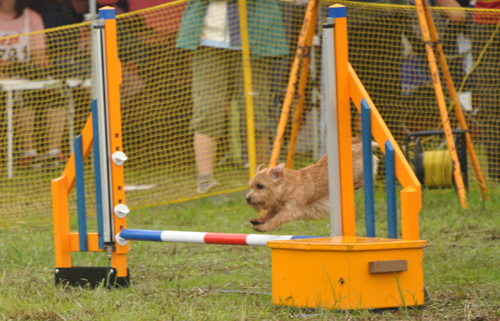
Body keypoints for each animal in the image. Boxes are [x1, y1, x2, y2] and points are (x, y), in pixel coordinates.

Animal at [246, 137, 378, 230]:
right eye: (251, 186)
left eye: (260, 186)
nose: (247, 198)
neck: (289, 188)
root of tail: (359, 143)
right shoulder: (276, 206)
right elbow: (268, 214)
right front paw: (258, 219)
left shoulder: (291, 209)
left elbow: (276, 219)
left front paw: (263, 227)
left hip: (357, 171)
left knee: (364, 179)